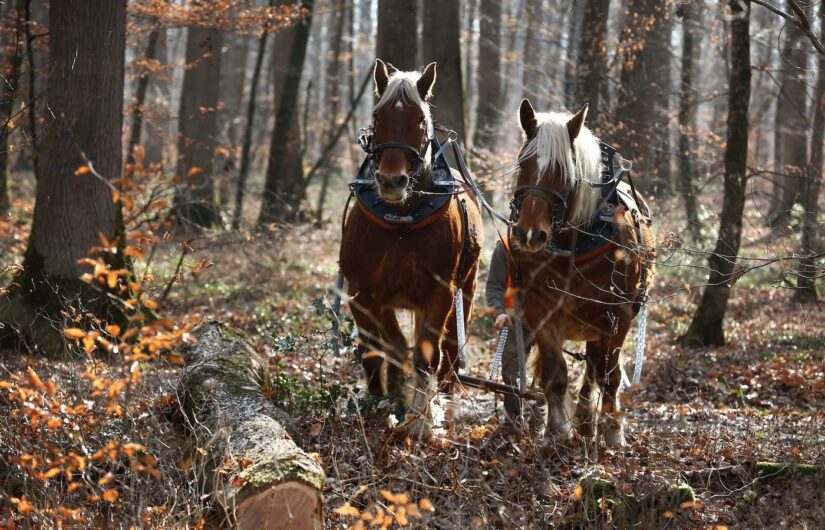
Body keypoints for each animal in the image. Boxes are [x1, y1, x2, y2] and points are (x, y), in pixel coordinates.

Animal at [340, 58, 482, 438]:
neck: (400, 219)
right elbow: (386, 347)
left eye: (419, 118)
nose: (391, 181)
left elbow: (425, 355)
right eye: (378, 116)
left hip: (467, 288)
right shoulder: (362, 294)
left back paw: (443, 400)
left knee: (449, 351)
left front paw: (422, 420)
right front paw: (388, 399)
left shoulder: (440, 293)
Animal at [508, 99, 652, 446]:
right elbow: (555, 373)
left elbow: (609, 375)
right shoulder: (540, 309)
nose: (529, 234)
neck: (571, 247)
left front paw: (612, 432)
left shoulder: (617, 315)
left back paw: (590, 420)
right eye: (523, 164)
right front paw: (556, 430)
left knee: (598, 369)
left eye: (563, 171)